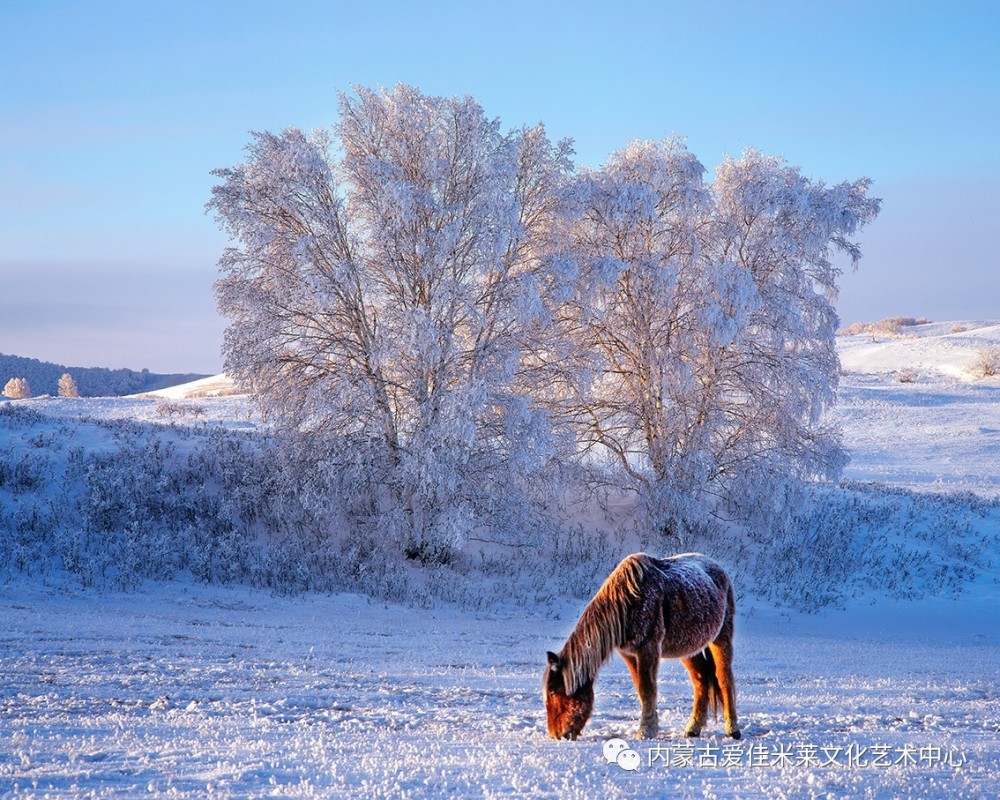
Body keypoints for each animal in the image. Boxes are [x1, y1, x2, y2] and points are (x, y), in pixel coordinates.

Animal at [544, 552, 740, 740]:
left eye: (553, 692)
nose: (556, 735)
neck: (626, 603)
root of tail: (717, 568)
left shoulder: (648, 649)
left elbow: (647, 689)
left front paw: (646, 731)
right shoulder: (629, 654)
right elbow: (640, 689)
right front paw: (651, 726)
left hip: (721, 637)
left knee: (723, 678)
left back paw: (732, 729)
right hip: (689, 648)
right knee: (700, 680)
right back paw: (693, 728)